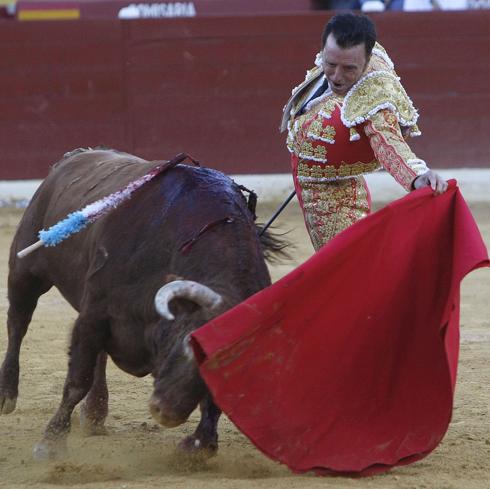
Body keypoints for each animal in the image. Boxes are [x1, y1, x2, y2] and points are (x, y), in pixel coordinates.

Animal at [0, 149, 280, 458]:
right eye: (187, 345)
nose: (166, 413)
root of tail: (73, 157)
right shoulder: (93, 315)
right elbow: (77, 380)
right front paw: (51, 441)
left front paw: (199, 444)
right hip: (25, 271)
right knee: (18, 324)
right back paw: (7, 394)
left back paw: (95, 414)